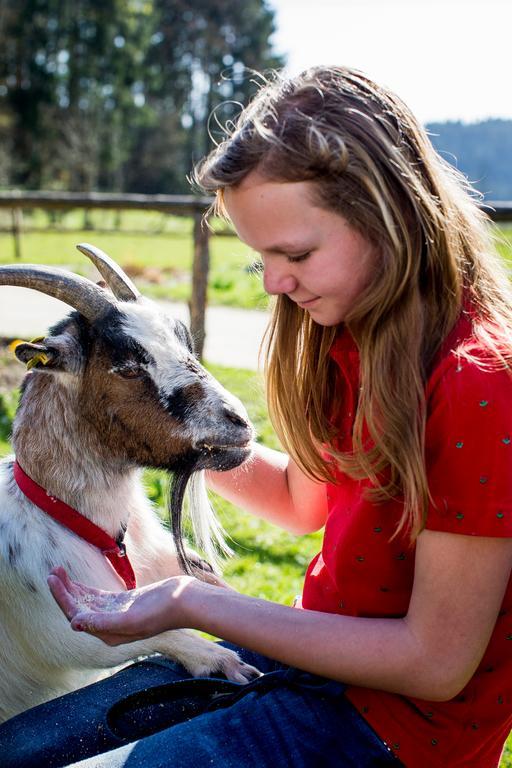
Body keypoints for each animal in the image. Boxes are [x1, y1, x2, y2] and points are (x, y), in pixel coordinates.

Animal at [0, 243, 258, 724]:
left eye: (184, 342)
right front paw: (221, 660)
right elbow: (136, 636)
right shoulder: (58, 626)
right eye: (128, 368)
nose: (239, 422)